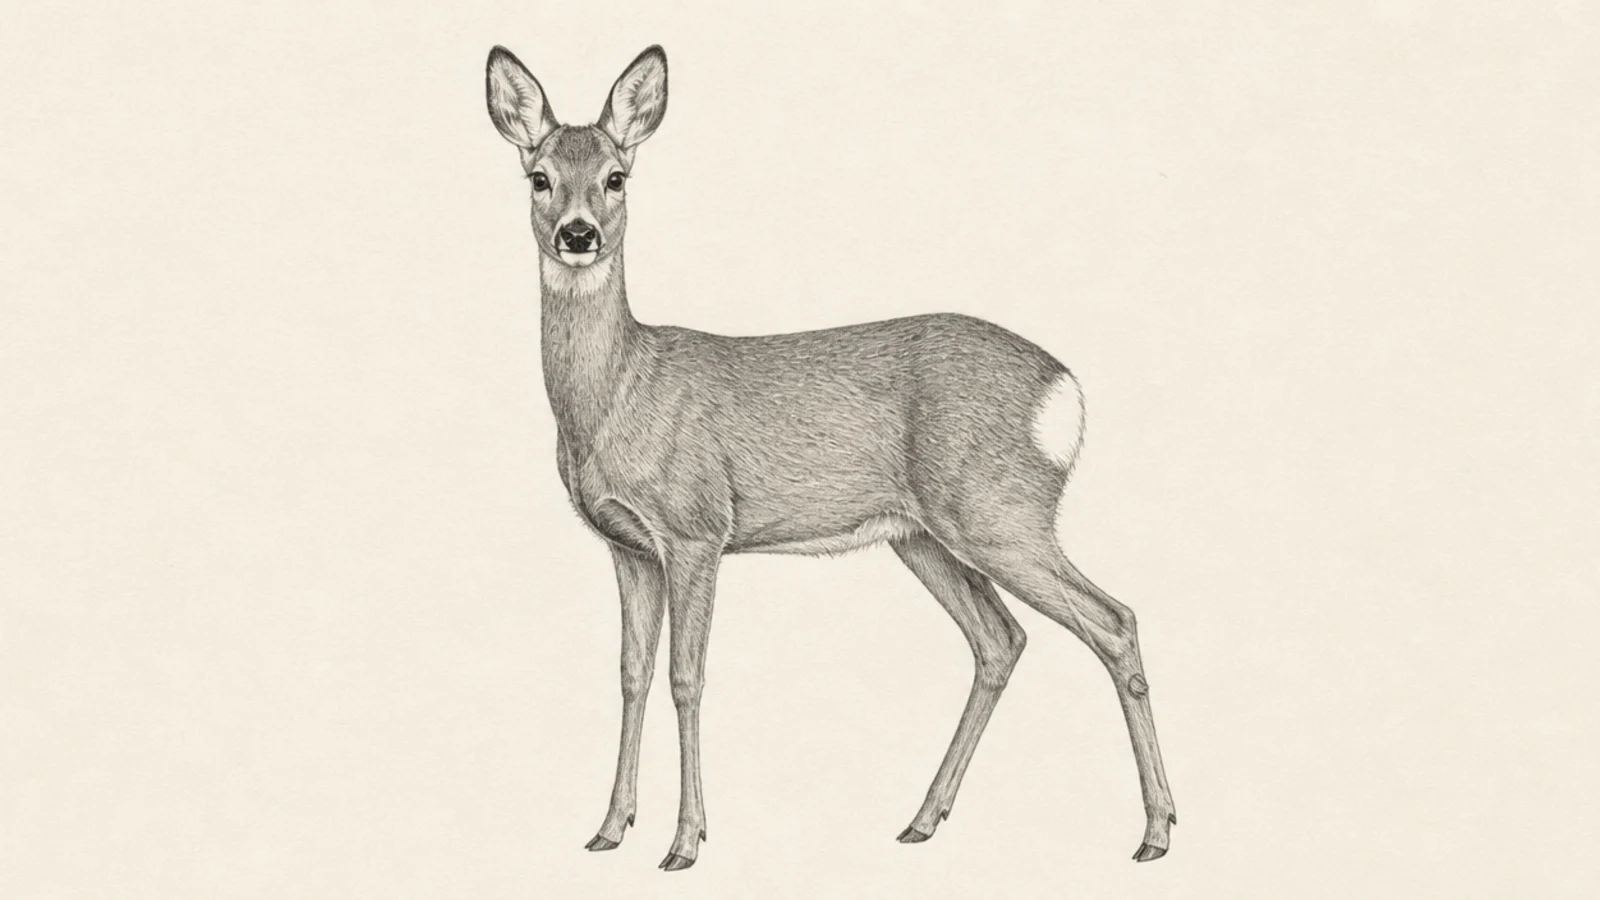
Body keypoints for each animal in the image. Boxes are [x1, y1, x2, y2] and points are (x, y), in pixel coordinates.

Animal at [484, 43, 1176, 871]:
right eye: (539, 176)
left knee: (1114, 619)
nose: (579, 234)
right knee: (1001, 640)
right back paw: (924, 819)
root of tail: (1065, 389)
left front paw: (685, 841)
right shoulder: (629, 547)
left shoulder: (695, 529)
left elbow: (686, 676)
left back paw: (1156, 831)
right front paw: (610, 828)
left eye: (617, 176)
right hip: (924, 535)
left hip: (999, 512)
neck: (619, 388)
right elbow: (631, 673)